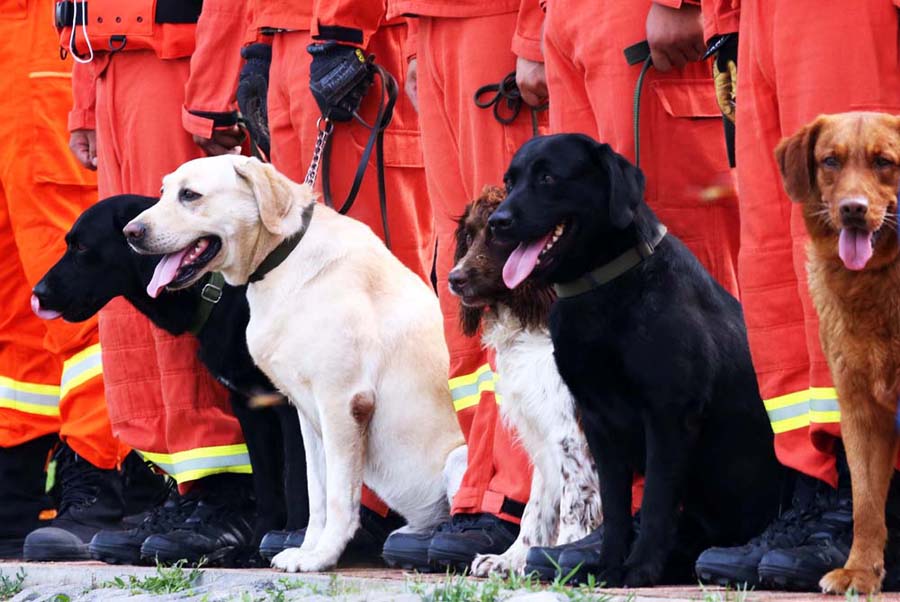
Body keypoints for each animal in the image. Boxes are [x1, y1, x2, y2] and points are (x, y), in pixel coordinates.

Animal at [31, 195, 312, 552]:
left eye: (81, 247)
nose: (38, 293)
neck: (216, 290)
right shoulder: (250, 407)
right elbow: (267, 486)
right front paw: (254, 548)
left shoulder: (290, 406)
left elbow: (297, 481)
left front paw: (293, 540)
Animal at [125, 155, 464, 568]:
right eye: (162, 192)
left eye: (190, 195)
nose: (130, 232)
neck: (281, 259)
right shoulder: (306, 414)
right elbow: (316, 495)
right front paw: (306, 548)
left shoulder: (342, 404)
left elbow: (337, 498)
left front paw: (322, 557)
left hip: (459, 459)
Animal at [488, 132, 784, 584]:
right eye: (510, 181)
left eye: (548, 178)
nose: (497, 222)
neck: (602, 290)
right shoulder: (597, 422)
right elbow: (614, 509)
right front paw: (606, 565)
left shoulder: (667, 417)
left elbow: (657, 501)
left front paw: (640, 568)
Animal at [772, 111, 900, 592]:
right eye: (830, 161)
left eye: (884, 162)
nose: (853, 208)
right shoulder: (859, 409)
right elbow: (866, 505)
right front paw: (861, 571)